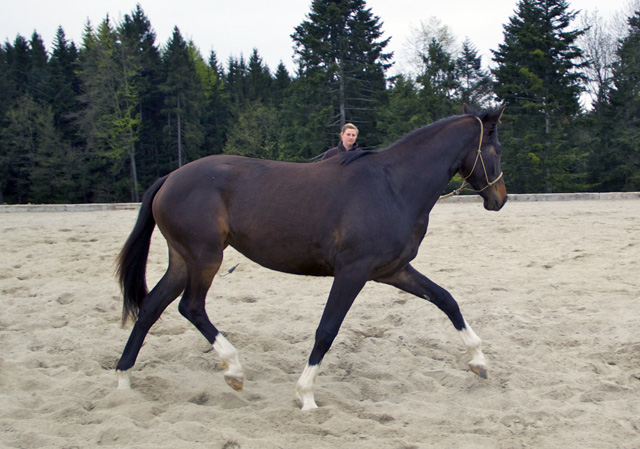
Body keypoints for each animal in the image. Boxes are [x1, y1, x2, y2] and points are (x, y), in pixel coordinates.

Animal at [114, 104, 504, 410]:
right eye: (497, 150)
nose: (499, 198)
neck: (393, 186)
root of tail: (169, 178)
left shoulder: (393, 270)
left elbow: (446, 300)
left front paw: (479, 361)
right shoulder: (352, 272)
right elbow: (326, 330)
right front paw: (305, 395)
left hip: (183, 260)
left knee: (151, 307)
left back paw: (123, 380)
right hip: (205, 257)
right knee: (190, 307)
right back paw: (233, 369)